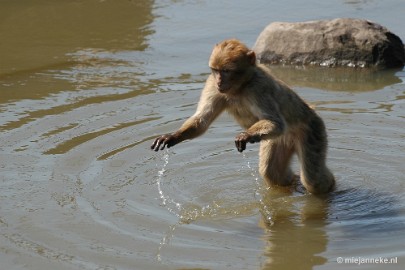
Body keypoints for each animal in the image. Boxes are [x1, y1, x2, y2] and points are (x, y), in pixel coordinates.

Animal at [152, 38, 334, 194]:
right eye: (216, 70)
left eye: (226, 71)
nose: (219, 81)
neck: (240, 88)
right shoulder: (211, 85)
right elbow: (202, 120)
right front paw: (172, 137)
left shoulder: (258, 87)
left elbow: (276, 122)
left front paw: (245, 136)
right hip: (277, 140)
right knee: (272, 172)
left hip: (312, 130)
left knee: (313, 179)